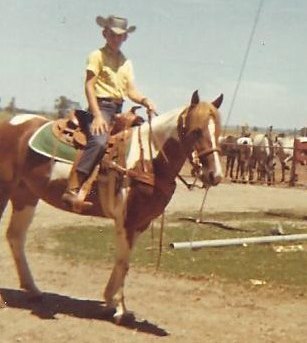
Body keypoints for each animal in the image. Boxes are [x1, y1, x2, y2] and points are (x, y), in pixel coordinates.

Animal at [0, 90, 223, 322]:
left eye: (218, 130)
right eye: (196, 130)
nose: (215, 175)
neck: (148, 160)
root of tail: (11, 123)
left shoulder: (140, 223)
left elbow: (124, 262)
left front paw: (112, 302)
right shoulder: (127, 219)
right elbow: (123, 261)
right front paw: (119, 307)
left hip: (25, 195)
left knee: (15, 236)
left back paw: (33, 290)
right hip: (5, 189)